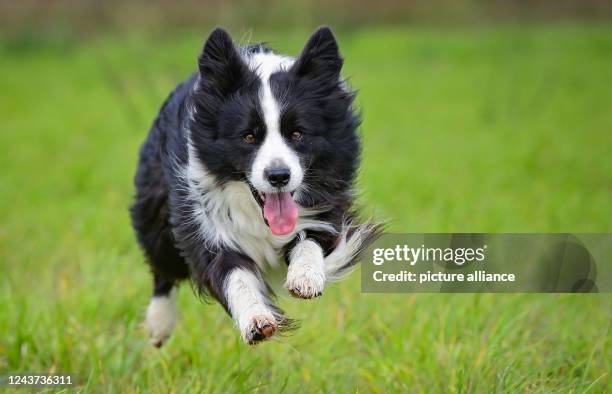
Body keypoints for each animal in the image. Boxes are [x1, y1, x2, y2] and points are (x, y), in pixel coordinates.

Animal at [131, 26, 380, 344]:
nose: (278, 176)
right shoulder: (203, 218)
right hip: (155, 205)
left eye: (297, 133)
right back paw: (159, 325)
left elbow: (311, 238)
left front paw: (305, 277)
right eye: (248, 136)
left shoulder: (329, 202)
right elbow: (232, 272)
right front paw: (255, 319)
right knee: (163, 266)